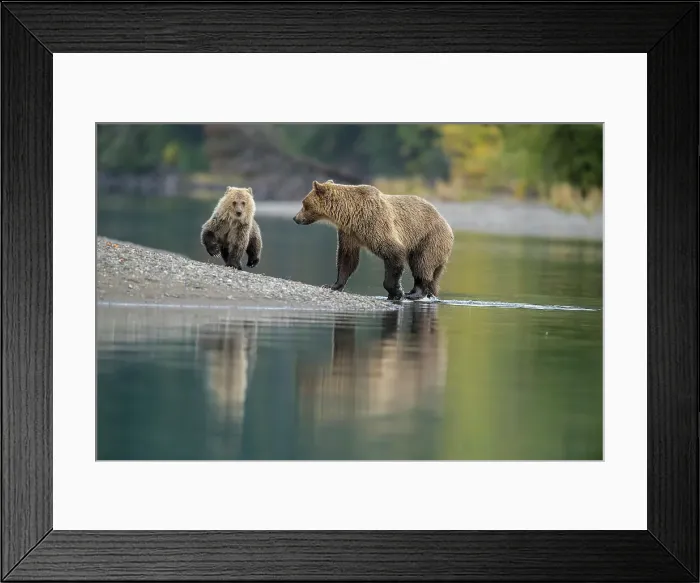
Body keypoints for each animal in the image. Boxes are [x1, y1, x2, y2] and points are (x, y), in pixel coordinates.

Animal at [293, 180, 454, 301]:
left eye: (303, 203)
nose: (295, 218)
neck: (351, 214)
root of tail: (446, 222)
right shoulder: (349, 233)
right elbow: (347, 258)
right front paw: (333, 285)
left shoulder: (375, 223)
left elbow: (394, 252)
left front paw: (397, 292)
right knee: (433, 274)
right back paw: (429, 293)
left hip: (429, 238)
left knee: (422, 263)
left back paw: (414, 293)